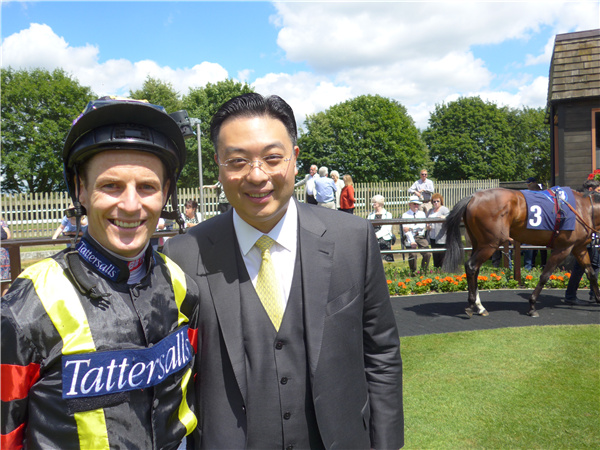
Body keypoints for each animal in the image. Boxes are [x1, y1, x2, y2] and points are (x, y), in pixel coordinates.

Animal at [442, 188, 600, 317]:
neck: (584, 208)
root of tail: (473, 197)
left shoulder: (579, 248)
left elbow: (591, 274)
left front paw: (598, 299)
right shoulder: (563, 248)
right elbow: (545, 276)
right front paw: (532, 306)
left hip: (478, 244)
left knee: (475, 270)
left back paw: (480, 307)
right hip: (490, 244)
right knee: (471, 266)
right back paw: (470, 306)